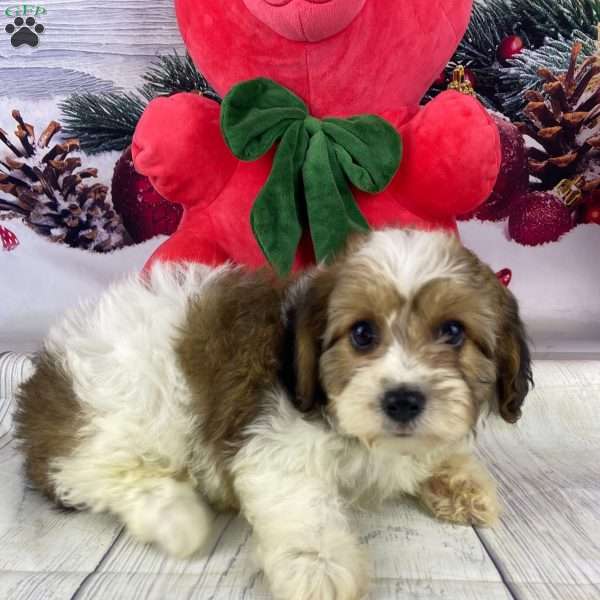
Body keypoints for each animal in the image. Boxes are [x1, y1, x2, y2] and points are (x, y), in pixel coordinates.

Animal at [15, 229, 528, 600]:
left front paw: (462, 482)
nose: (402, 399)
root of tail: (43, 383)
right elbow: (303, 506)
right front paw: (319, 567)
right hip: (127, 410)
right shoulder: (275, 442)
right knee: (88, 471)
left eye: (453, 332)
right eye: (362, 334)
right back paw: (176, 516)